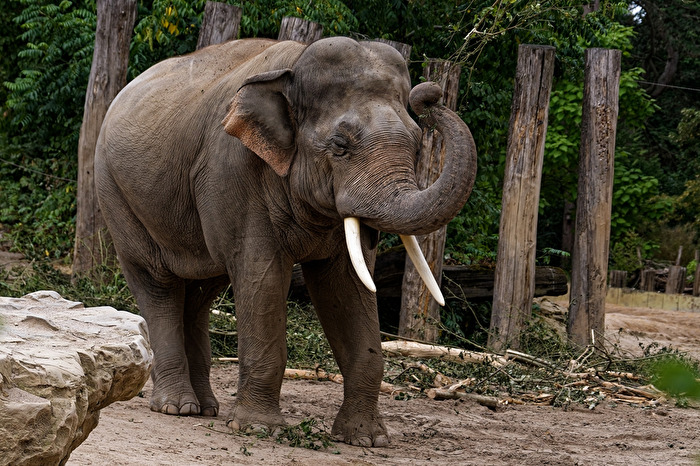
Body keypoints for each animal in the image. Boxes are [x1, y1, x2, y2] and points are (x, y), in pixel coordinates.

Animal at [95, 36, 476, 447]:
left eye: (418, 144)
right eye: (340, 145)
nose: (430, 94)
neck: (293, 66)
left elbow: (347, 286)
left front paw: (366, 439)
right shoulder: (235, 173)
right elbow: (261, 276)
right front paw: (260, 428)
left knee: (200, 293)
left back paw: (206, 408)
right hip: (117, 196)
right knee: (159, 285)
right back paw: (176, 407)